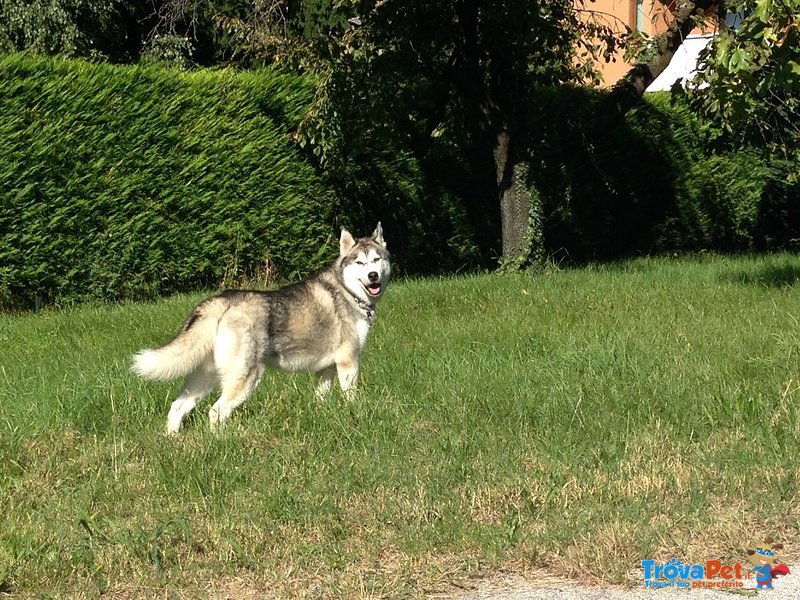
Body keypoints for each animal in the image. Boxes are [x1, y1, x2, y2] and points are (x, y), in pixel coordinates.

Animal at [133, 223, 390, 434]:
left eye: (377, 259)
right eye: (360, 262)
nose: (373, 276)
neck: (349, 292)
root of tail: (222, 300)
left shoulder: (325, 369)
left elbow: (321, 400)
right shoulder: (348, 361)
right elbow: (351, 398)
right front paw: (354, 415)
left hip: (204, 377)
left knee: (177, 407)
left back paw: (172, 441)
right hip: (247, 376)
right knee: (216, 412)